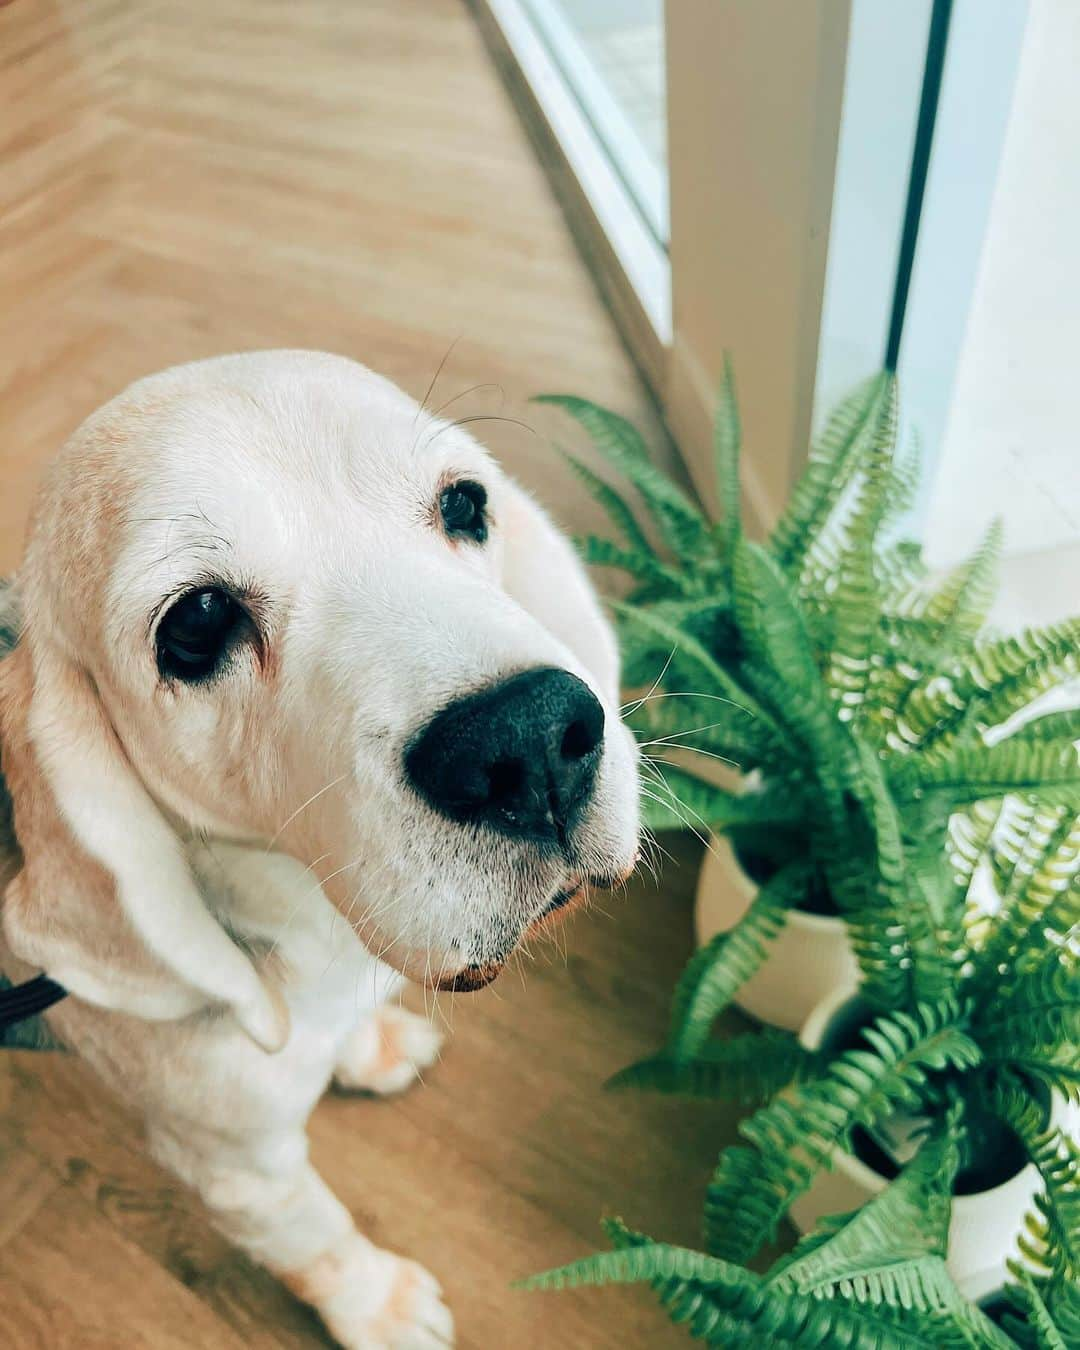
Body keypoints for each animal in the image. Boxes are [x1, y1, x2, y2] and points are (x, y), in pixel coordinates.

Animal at [0, 351, 642, 1350]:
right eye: (196, 625)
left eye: (465, 503)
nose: (529, 742)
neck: (304, 917)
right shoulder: (238, 1169)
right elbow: (317, 1235)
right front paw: (377, 1306)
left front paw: (363, 1047)